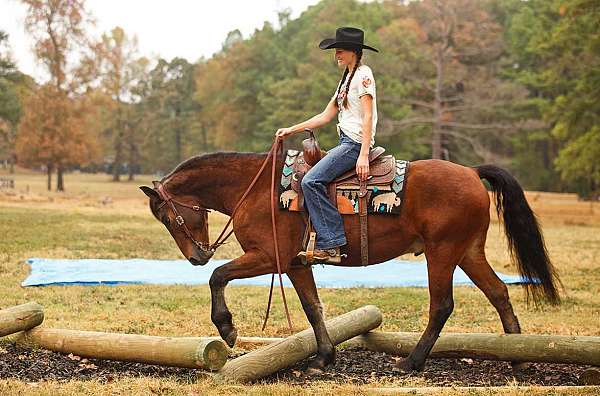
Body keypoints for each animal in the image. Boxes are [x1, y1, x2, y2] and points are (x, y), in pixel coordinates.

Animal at [141, 149, 564, 374]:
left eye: (168, 217)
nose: (196, 256)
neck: (254, 188)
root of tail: (472, 172)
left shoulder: (269, 258)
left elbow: (219, 276)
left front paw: (227, 329)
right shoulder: (297, 264)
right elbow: (313, 309)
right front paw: (323, 358)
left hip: (442, 253)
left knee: (442, 305)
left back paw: (411, 362)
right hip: (469, 252)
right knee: (499, 294)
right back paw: (518, 360)